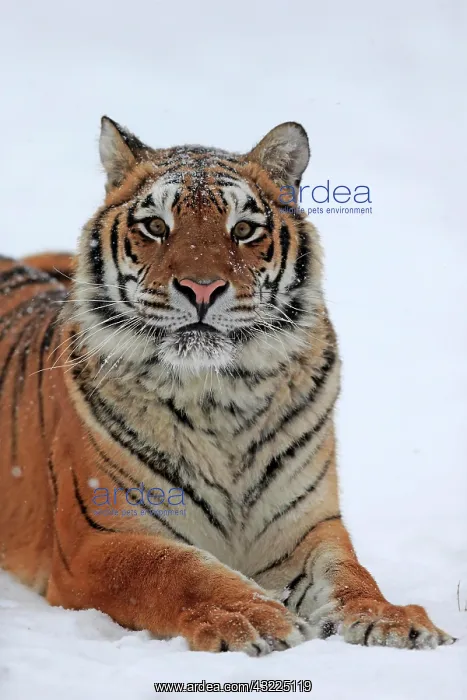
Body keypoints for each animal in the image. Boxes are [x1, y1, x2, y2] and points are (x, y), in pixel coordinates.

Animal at [0, 117, 454, 654]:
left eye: (243, 229)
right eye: (156, 226)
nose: (202, 288)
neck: (220, 398)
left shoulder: (306, 527)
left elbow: (349, 575)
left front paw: (393, 621)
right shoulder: (97, 537)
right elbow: (174, 569)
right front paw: (254, 618)